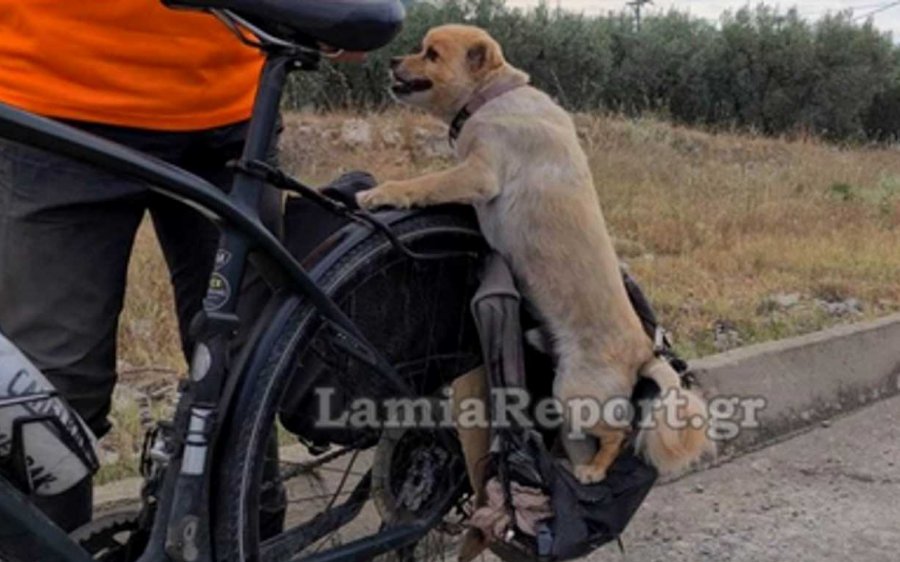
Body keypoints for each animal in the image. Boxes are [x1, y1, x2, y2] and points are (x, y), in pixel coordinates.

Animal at [356, 25, 712, 482]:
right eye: (420, 48)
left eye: (431, 54)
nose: (393, 60)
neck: (492, 95)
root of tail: (643, 354)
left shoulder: (477, 174)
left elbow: (425, 183)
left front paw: (382, 193)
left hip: (573, 391)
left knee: (617, 434)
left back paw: (592, 471)